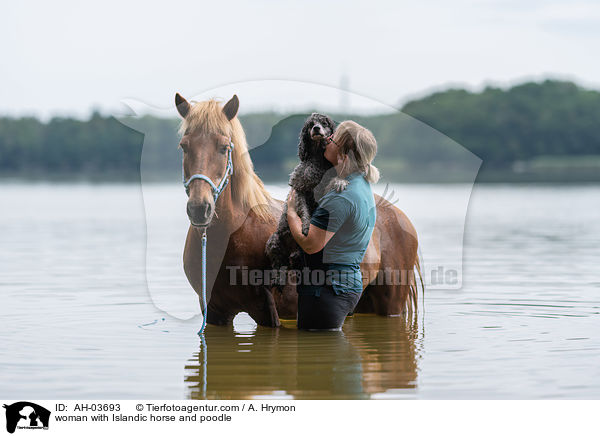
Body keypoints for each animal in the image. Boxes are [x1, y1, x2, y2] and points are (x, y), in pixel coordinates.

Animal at [176, 93, 422, 328]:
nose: (200, 208)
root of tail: (401, 218)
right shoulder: (214, 312)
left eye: (224, 147)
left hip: (390, 305)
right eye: (184, 146)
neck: (233, 232)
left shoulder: (266, 311)